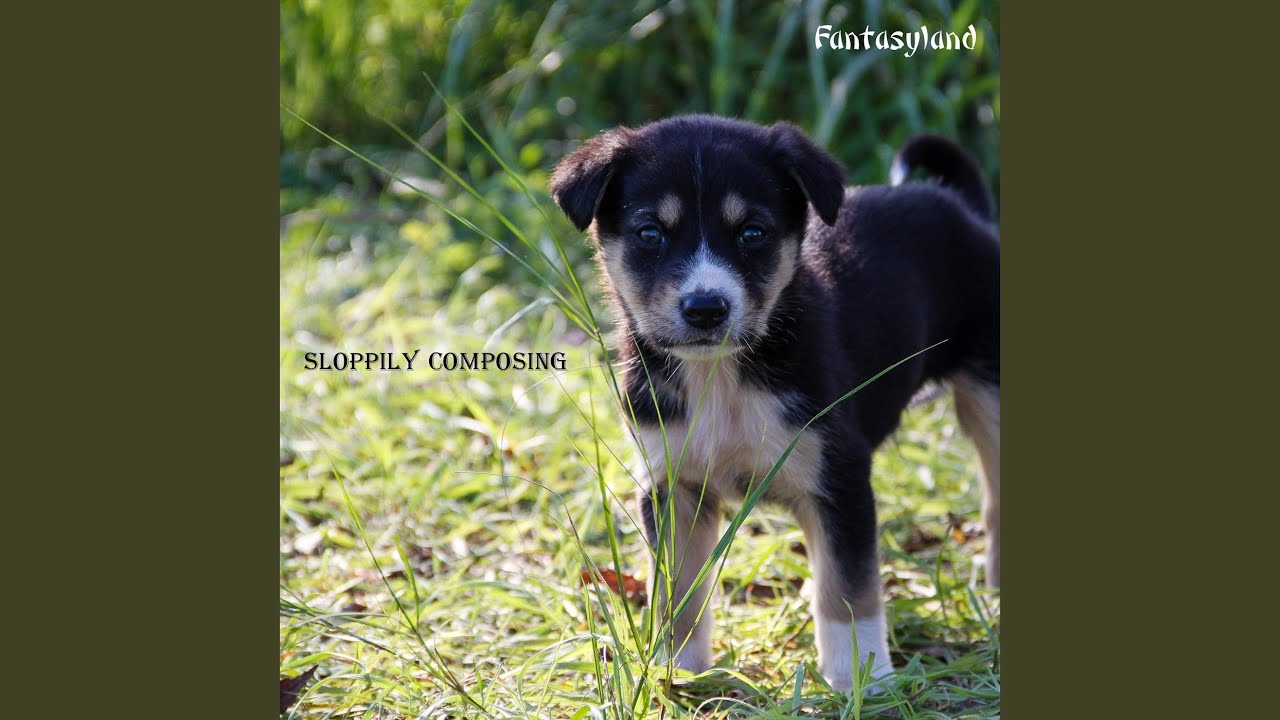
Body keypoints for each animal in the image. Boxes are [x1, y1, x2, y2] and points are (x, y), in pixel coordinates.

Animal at [549, 115, 999, 691]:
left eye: (752, 233)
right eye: (650, 233)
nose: (705, 308)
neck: (722, 378)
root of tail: (959, 207)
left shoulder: (840, 476)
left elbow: (849, 591)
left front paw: (860, 678)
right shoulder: (672, 485)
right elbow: (678, 591)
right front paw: (680, 670)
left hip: (990, 395)